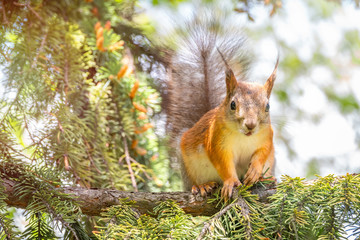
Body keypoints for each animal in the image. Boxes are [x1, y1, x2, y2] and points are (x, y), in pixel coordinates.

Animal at [166, 13, 278, 201]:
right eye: (233, 104)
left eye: (268, 106)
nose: (250, 125)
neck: (243, 137)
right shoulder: (216, 141)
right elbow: (223, 164)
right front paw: (231, 181)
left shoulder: (266, 137)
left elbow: (262, 153)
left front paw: (255, 170)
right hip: (187, 167)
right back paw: (202, 186)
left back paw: (265, 178)